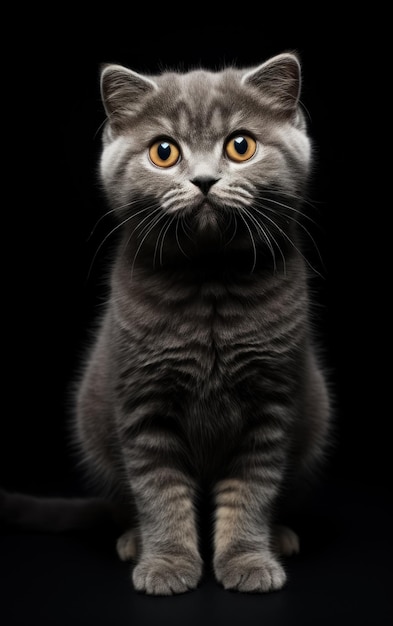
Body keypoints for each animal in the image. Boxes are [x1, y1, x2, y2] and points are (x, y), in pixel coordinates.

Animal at [1, 51, 330, 592]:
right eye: (163, 152)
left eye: (241, 145)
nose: (204, 180)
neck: (209, 285)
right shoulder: (143, 404)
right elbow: (160, 494)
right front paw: (168, 564)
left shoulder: (271, 404)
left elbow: (252, 490)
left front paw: (247, 560)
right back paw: (133, 541)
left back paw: (280, 536)